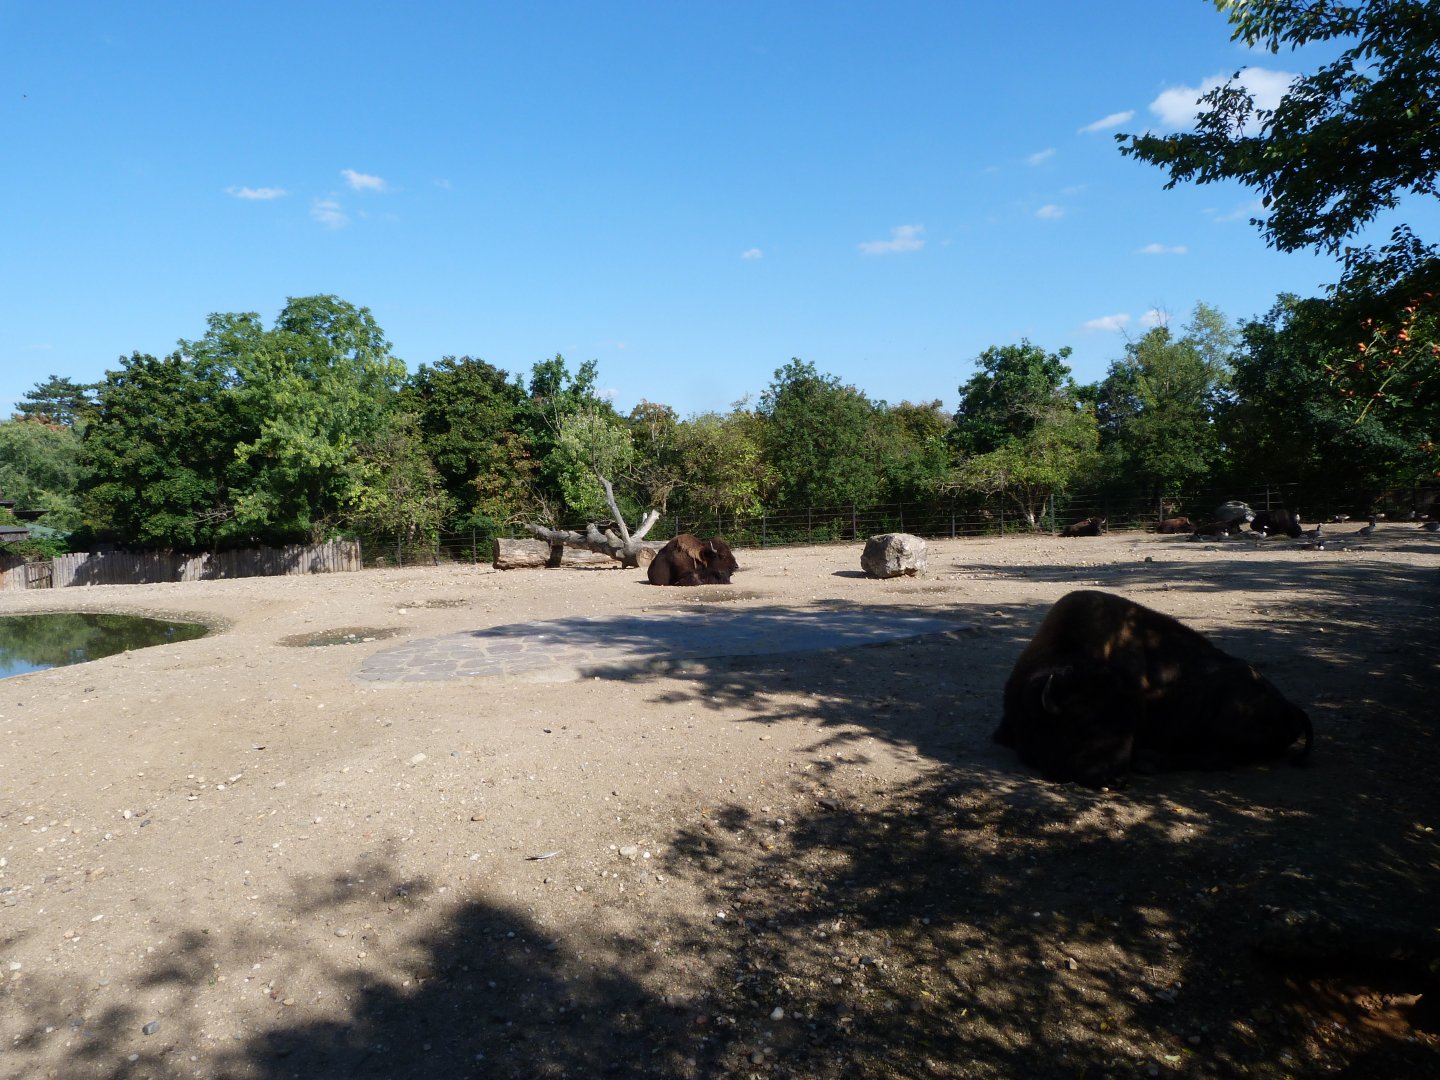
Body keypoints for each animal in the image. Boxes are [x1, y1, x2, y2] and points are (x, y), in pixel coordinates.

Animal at [994, 590, 1312, 788]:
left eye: (1132, 727)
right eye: (1084, 724)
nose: (1115, 779)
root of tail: (1290, 707)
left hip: (1232, 715)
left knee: (1218, 757)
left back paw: (1149, 761)